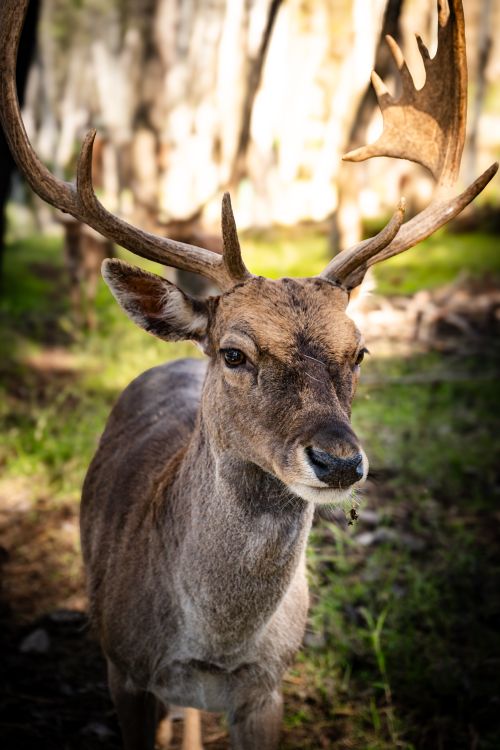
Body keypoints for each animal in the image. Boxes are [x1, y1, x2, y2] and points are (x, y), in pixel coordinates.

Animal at [0, 1, 497, 748]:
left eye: (359, 352)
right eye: (235, 353)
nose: (339, 461)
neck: (213, 649)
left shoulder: (268, 688)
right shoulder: (122, 669)